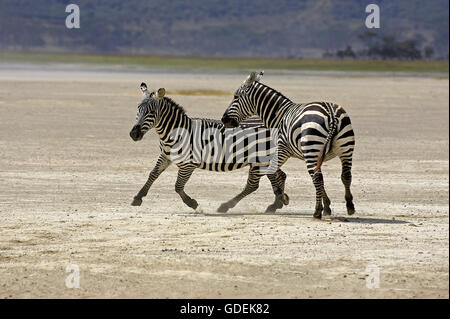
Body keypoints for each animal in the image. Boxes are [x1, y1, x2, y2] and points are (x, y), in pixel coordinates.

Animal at [129, 82, 292, 214]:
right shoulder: (165, 155)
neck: (175, 131)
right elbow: (153, 174)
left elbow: (178, 186)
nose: (134, 134)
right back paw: (278, 202)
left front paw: (193, 204)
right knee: (278, 176)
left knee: (253, 185)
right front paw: (138, 197)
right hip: (264, 159)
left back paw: (227, 206)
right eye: (138, 109)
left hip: (260, 159)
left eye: (151, 112)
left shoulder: (188, 164)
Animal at [221, 72, 356, 220]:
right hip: (345, 148)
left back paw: (316, 211)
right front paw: (327, 206)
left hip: (312, 149)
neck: (278, 116)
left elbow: (271, 171)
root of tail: (331, 113)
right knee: (345, 175)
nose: (224, 120)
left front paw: (282, 199)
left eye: (236, 97)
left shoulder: (282, 149)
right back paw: (350, 206)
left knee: (318, 177)